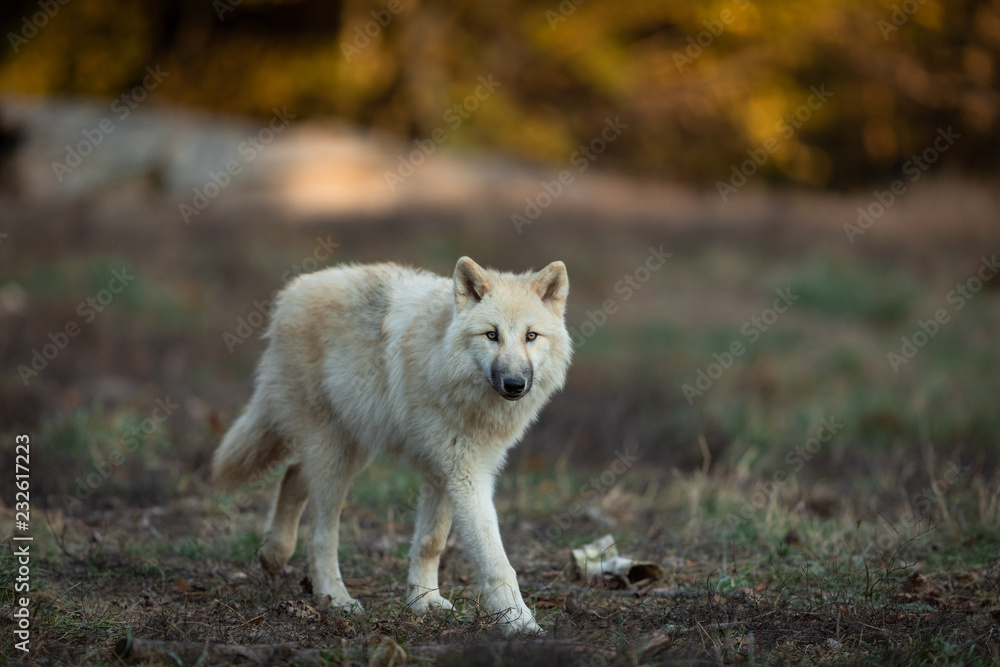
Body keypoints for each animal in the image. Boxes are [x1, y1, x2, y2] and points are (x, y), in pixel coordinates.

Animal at [211, 257, 571, 634]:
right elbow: (496, 560)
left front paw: (423, 601)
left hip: (353, 448)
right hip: (335, 456)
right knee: (320, 534)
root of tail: (291, 292)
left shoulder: (444, 470)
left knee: (294, 476)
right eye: (492, 335)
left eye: (531, 336)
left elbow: (431, 541)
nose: (515, 384)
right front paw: (520, 622)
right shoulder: (465, 473)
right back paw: (335, 598)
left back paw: (274, 555)